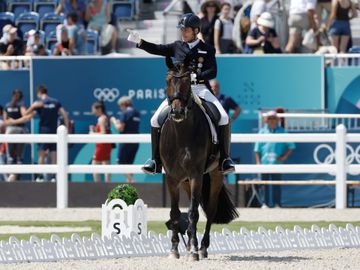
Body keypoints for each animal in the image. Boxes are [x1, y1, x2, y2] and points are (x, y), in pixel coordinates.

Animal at [160, 58, 239, 260]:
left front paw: (194, 250)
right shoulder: (172, 177)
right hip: (186, 181)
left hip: (215, 175)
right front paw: (174, 249)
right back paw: (189, 244)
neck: (181, 133)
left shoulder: (196, 175)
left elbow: (194, 212)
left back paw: (201, 247)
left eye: (188, 81)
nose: (177, 112)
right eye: (168, 80)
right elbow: (175, 213)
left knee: (209, 211)